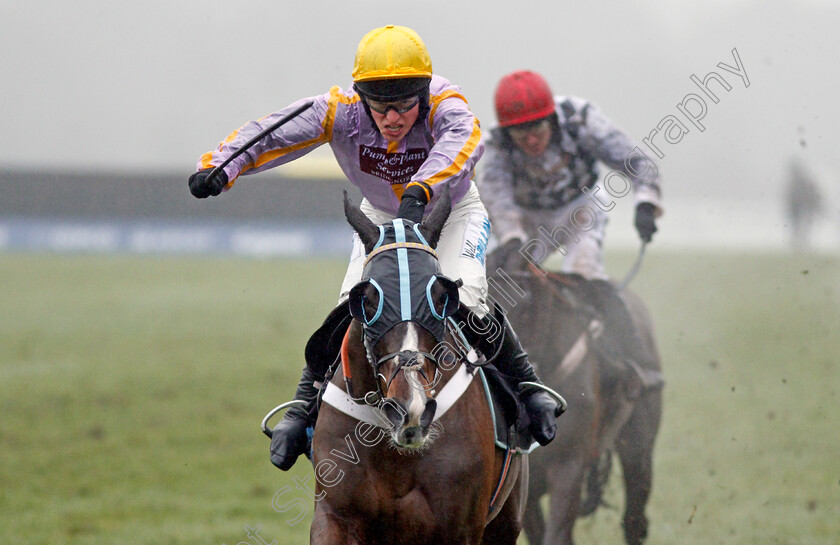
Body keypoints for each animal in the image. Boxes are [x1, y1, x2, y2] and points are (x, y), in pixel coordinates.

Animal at [306, 188, 528, 544]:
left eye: (442, 297)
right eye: (366, 300)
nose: (411, 408)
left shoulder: (460, 528)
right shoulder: (335, 516)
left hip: (506, 521)